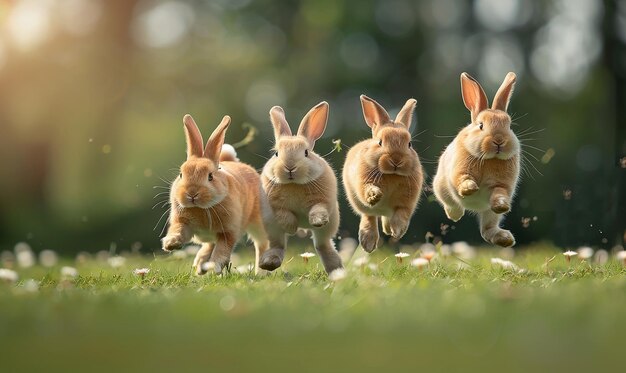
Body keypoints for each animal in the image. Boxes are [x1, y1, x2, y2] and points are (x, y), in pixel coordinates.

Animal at [161, 113, 268, 274]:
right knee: (209, 245)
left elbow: (221, 251)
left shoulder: (228, 232)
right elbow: (178, 230)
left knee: (262, 243)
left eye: (210, 176)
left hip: (257, 221)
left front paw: (215, 267)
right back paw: (200, 265)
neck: (202, 208)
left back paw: (263, 270)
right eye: (181, 175)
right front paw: (170, 244)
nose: (192, 194)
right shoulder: (183, 223)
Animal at [258, 101, 342, 274]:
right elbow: (284, 215)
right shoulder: (275, 207)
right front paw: (291, 228)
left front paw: (317, 220)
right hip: (272, 228)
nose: (290, 167)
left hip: (328, 228)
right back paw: (269, 263)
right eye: (276, 153)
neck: (294, 184)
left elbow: (318, 209)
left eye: (306, 152)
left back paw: (336, 270)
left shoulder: (323, 201)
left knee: (323, 245)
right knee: (278, 245)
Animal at [342, 95, 424, 253]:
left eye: (409, 144)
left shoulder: (406, 200)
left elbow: (402, 213)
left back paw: (387, 230)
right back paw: (368, 243)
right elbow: (367, 191)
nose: (396, 160)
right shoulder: (363, 183)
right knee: (369, 216)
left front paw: (397, 231)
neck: (391, 174)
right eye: (380, 142)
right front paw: (375, 195)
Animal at [432, 72, 520, 247]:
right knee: (449, 202)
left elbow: (499, 192)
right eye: (481, 126)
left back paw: (505, 238)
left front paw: (502, 205)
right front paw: (469, 188)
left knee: (487, 230)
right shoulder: (459, 171)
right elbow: (463, 179)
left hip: (489, 215)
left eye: (509, 126)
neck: (488, 159)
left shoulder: (501, 185)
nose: (499, 140)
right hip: (441, 186)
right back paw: (455, 214)